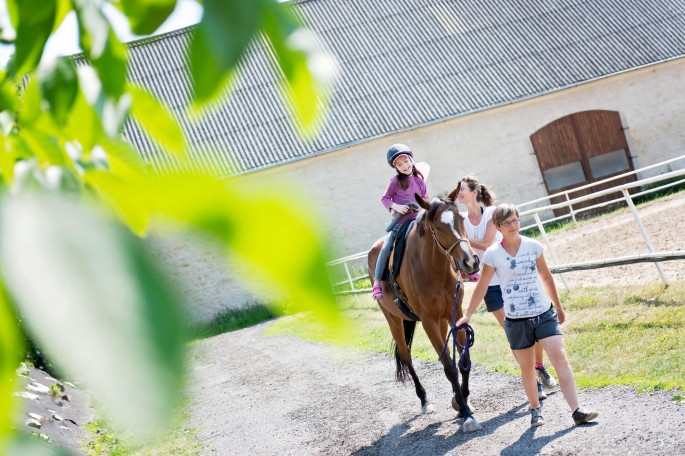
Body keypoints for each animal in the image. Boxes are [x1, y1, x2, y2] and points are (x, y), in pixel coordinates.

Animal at [368, 184, 480, 432]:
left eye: (461, 219)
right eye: (438, 227)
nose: (471, 262)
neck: (433, 268)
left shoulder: (455, 314)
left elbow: (463, 362)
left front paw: (462, 403)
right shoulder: (428, 320)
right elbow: (449, 367)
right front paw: (467, 415)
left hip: (440, 320)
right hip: (394, 321)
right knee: (407, 357)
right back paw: (424, 400)